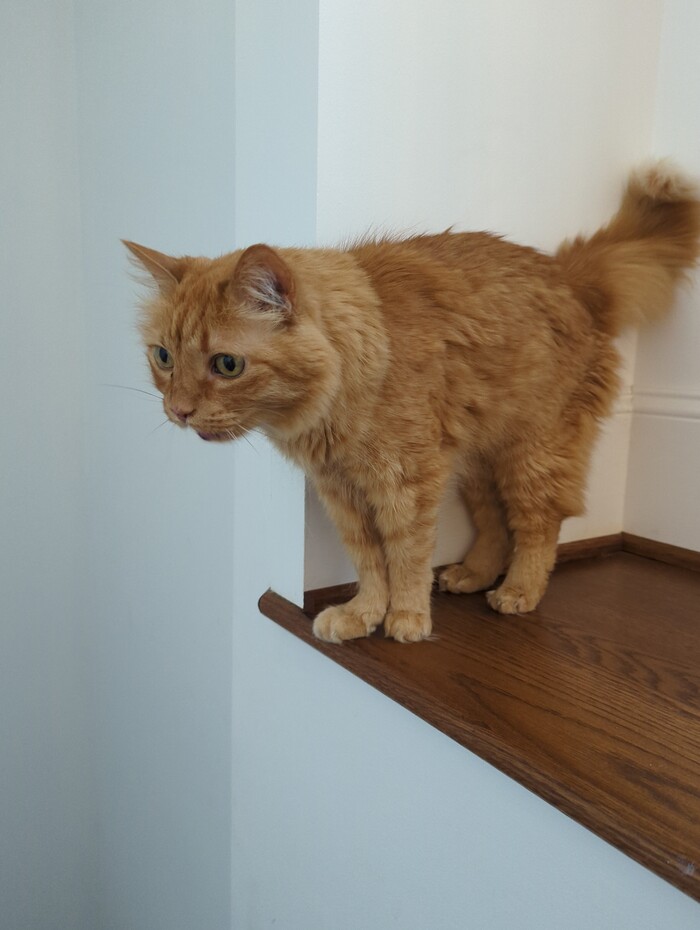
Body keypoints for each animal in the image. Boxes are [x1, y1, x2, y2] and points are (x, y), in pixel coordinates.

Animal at [126, 163, 700, 640]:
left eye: (227, 365)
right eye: (163, 357)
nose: (178, 411)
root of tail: (569, 275)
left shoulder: (406, 482)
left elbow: (405, 554)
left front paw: (406, 618)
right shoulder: (341, 492)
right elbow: (368, 560)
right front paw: (364, 614)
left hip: (532, 454)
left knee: (539, 525)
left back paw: (517, 591)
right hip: (476, 461)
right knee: (494, 523)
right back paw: (473, 574)